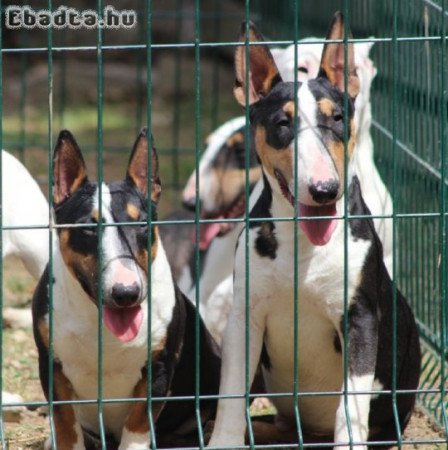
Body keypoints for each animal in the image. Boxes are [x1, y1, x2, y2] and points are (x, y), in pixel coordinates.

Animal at [32, 128, 221, 448]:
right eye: (89, 227)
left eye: (142, 223)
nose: (126, 293)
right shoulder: (51, 367)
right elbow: (65, 424)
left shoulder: (159, 367)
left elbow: (138, 423)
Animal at [209, 12, 420, 448]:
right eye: (282, 123)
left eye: (337, 118)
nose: (325, 190)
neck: (299, 245)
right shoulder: (244, 315)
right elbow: (231, 393)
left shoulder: (361, 317)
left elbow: (350, 405)